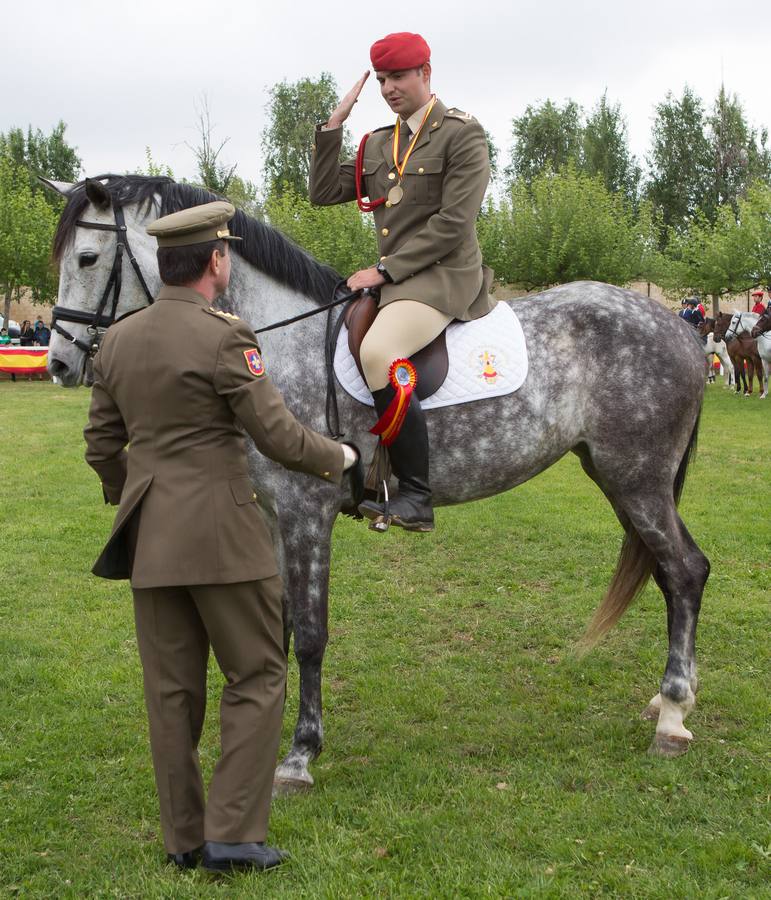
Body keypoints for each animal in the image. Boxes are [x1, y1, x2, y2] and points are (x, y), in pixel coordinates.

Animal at [48, 176, 712, 788]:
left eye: (87, 259)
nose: (59, 362)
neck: (281, 342)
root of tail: (678, 326)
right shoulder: (273, 516)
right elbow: (278, 628)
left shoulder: (306, 512)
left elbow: (310, 633)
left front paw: (300, 755)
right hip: (617, 478)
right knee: (668, 574)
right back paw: (665, 700)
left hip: (638, 481)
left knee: (685, 571)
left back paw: (673, 717)